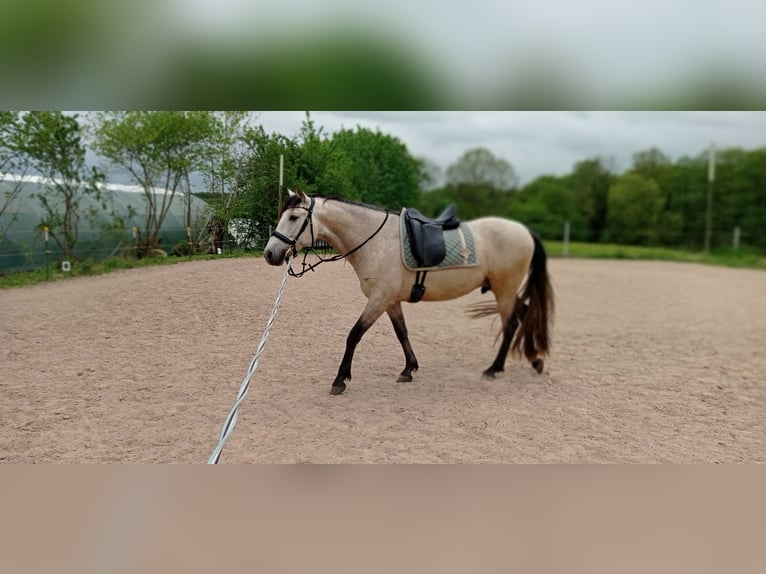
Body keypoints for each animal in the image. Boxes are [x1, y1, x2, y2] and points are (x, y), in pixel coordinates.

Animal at [264, 187, 554, 395]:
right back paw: (534, 360)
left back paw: (494, 369)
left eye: (293, 217)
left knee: (511, 323)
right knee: (523, 315)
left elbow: (354, 334)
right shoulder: (390, 301)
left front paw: (340, 379)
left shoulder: (379, 298)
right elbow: (401, 332)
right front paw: (409, 369)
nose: (270, 254)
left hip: (505, 290)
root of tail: (524, 231)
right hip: (506, 290)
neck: (376, 240)